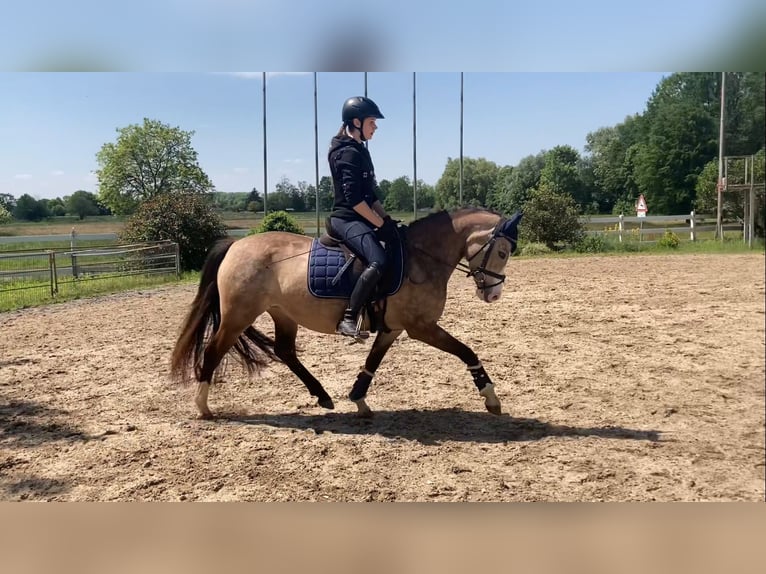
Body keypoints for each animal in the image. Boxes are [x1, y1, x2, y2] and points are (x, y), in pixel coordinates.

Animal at [172, 207, 524, 418]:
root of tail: (235, 246)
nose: (493, 294)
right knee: (213, 350)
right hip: (238, 315)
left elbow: (372, 363)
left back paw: (322, 395)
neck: (421, 259)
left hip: (282, 313)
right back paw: (202, 407)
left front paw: (359, 398)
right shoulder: (421, 327)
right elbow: (466, 351)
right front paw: (491, 397)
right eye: (502, 252)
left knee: (285, 351)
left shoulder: (393, 328)